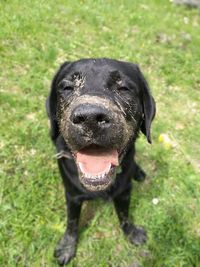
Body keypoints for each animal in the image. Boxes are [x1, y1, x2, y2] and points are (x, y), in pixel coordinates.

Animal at [46, 58, 155, 266]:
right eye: (67, 87)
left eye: (123, 88)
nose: (90, 118)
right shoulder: (72, 195)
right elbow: (72, 222)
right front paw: (67, 247)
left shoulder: (124, 192)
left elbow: (124, 215)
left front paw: (132, 233)